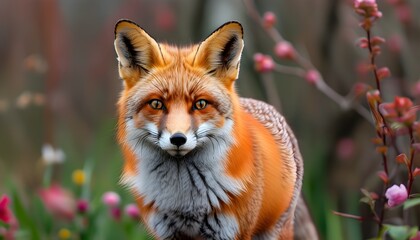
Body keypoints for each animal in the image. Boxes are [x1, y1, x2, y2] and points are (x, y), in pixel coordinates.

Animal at [113, 19, 316, 239]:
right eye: (157, 104)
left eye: (200, 104)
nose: (178, 139)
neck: (183, 201)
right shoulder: (167, 232)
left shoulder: (230, 231)